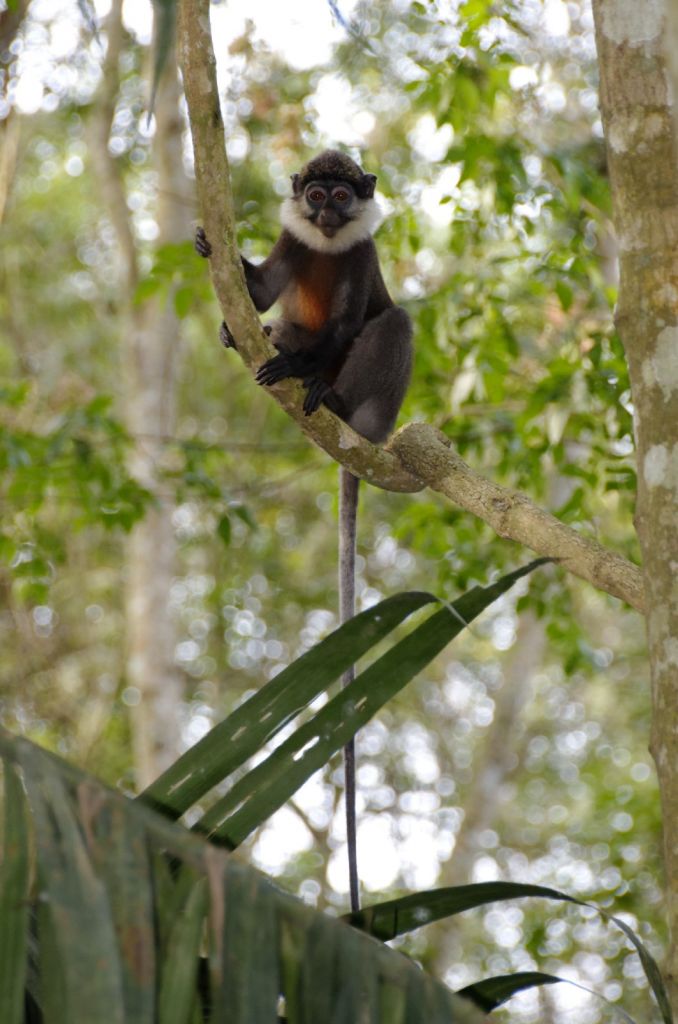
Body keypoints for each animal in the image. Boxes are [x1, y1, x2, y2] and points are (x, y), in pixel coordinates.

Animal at [193, 148, 411, 909]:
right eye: (314, 194)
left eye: (343, 196)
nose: (326, 209)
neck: (326, 244)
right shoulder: (293, 242)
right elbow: (261, 295)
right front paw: (214, 251)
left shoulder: (361, 256)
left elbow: (352, 324)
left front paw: (300, 364)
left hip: (376, 405)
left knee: (395, 322)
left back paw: (331, 397)